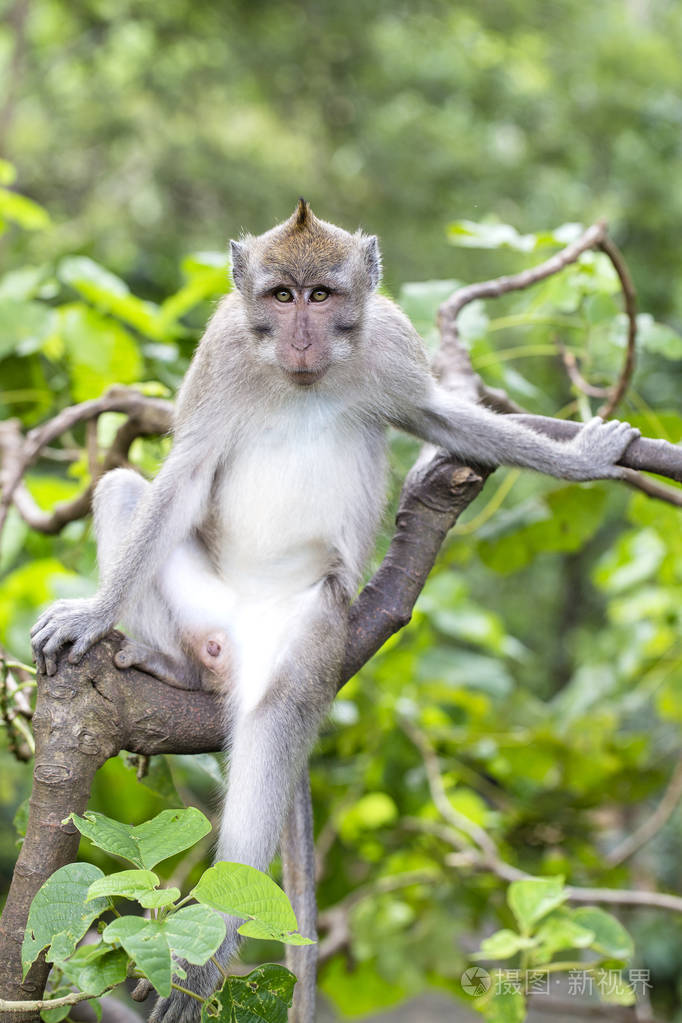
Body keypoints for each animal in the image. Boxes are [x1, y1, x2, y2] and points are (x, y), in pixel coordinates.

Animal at [30, 197, 642, 1014]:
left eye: (322, 296)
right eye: (282, 296)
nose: (300, 336)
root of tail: (234, 646)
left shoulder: (392, 344)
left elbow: (441, 417)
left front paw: (579, 461)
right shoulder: (222, 354)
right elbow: (180, 475)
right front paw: (95, 615)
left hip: (316, 628)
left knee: (278, 718)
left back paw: (214, 945)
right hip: (206, 616)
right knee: (125, 489)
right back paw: (171, 665)